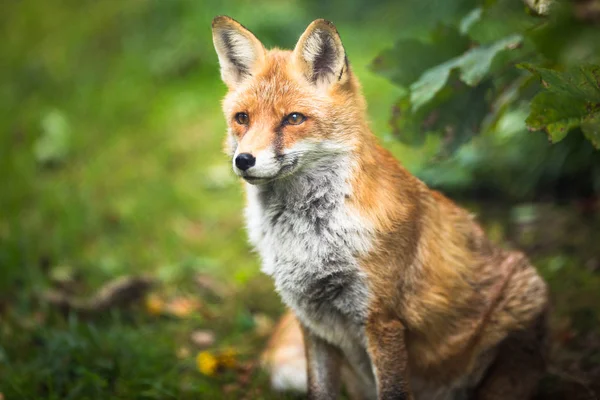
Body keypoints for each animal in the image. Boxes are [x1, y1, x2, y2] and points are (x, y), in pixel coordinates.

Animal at [213, 15, 552, 400]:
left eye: (294, 119)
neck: (310, 239)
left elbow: (393, 389)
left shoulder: (381, 320)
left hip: (524, 298)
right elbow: (320, 390)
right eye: (242, 118)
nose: (243, 160)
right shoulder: (311, 321)